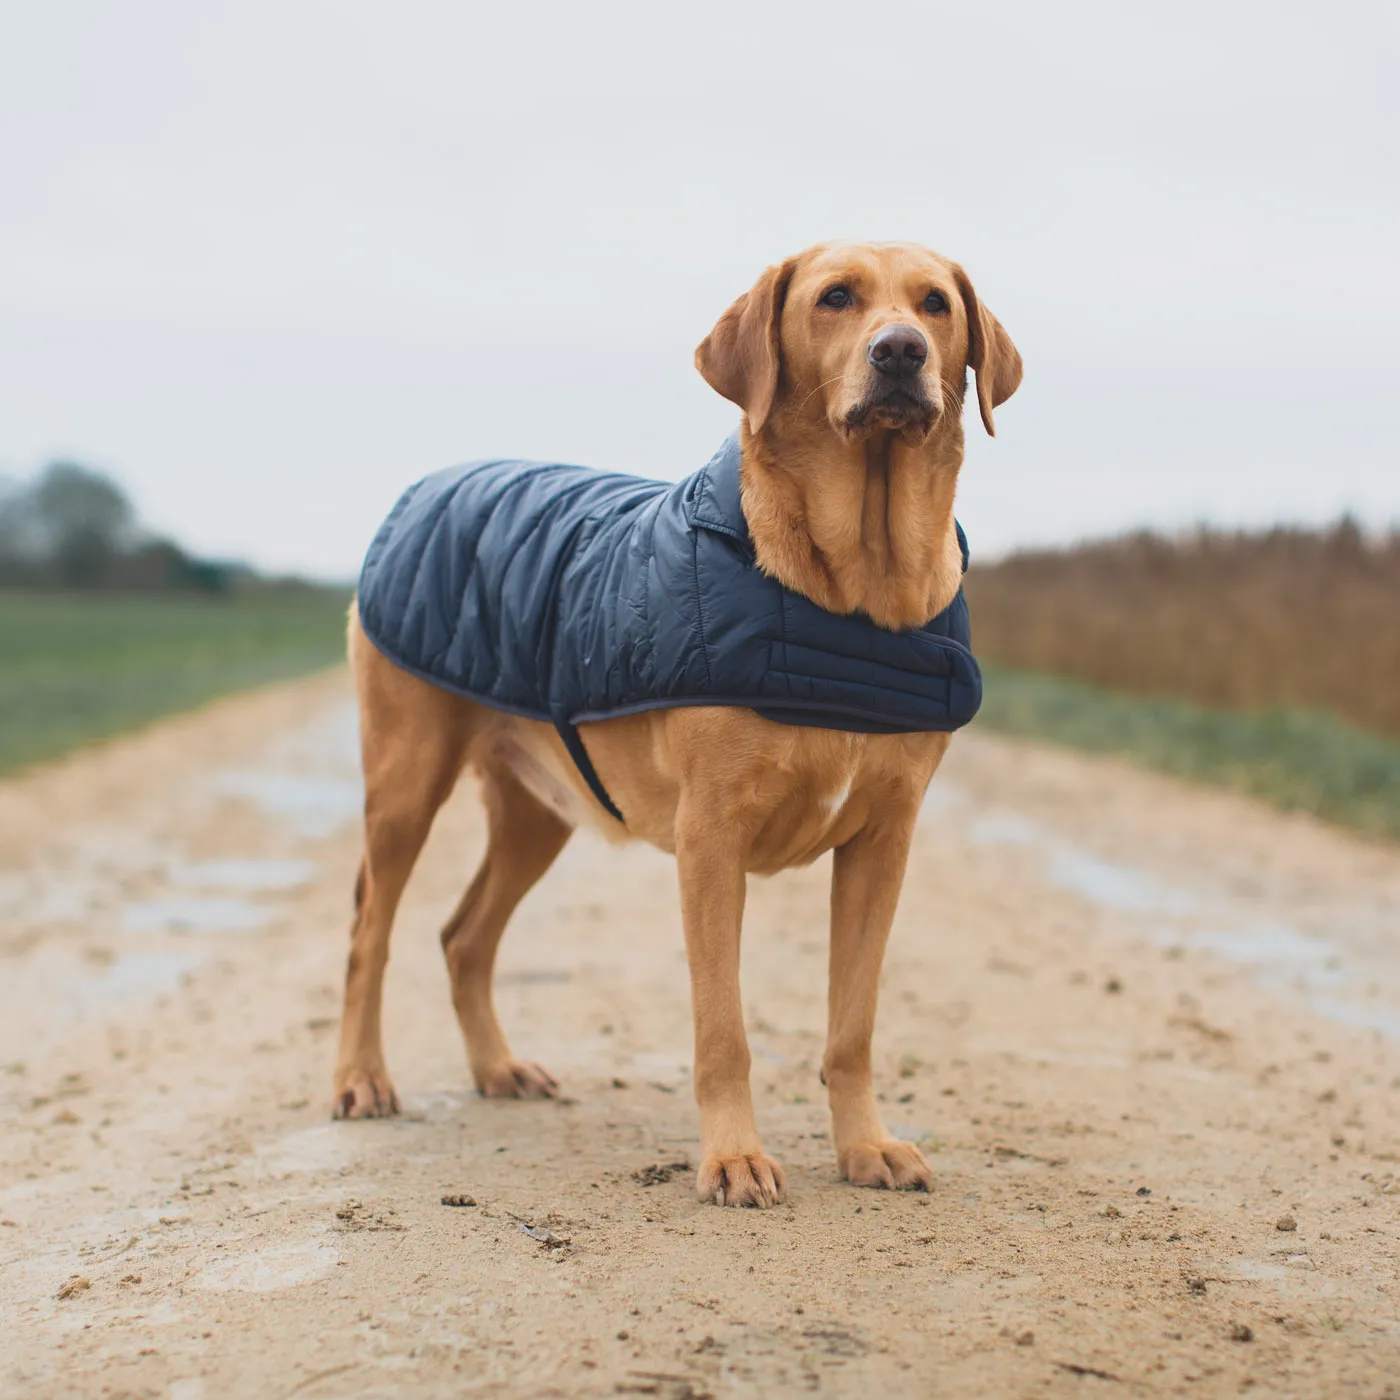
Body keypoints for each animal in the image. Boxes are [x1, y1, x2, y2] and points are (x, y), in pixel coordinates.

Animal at [334, 240, 1024, 1204]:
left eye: (935, 305)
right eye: (835, 298)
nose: (900, 353)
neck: (856, 596)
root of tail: (429, 482)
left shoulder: (883, 842)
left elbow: (852, 1025)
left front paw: (866, 1146)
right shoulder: (711, 837)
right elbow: (721, 1027)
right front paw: (734, 1157)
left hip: (538, 811)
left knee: (463, 935)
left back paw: (498, 1068)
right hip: (405, 779)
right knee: (371, 932)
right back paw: (361, 1078)